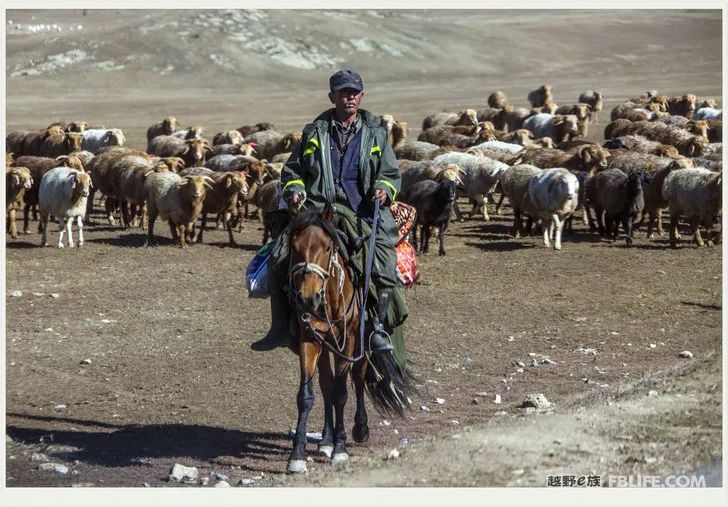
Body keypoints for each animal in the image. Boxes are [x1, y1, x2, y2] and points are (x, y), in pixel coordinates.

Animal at [284, 202, 412, 476]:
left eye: (327, 247)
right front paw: (297, 455)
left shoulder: (351, 338)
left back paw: (359, 429)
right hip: (326, 345)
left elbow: (341, 393)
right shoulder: (309, 338)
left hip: (361, 344)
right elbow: (307, 395)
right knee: (326, 383)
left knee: (358, 378)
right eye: (295, 247)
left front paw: (341, 450)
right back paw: (325, 440)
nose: (308, 298)